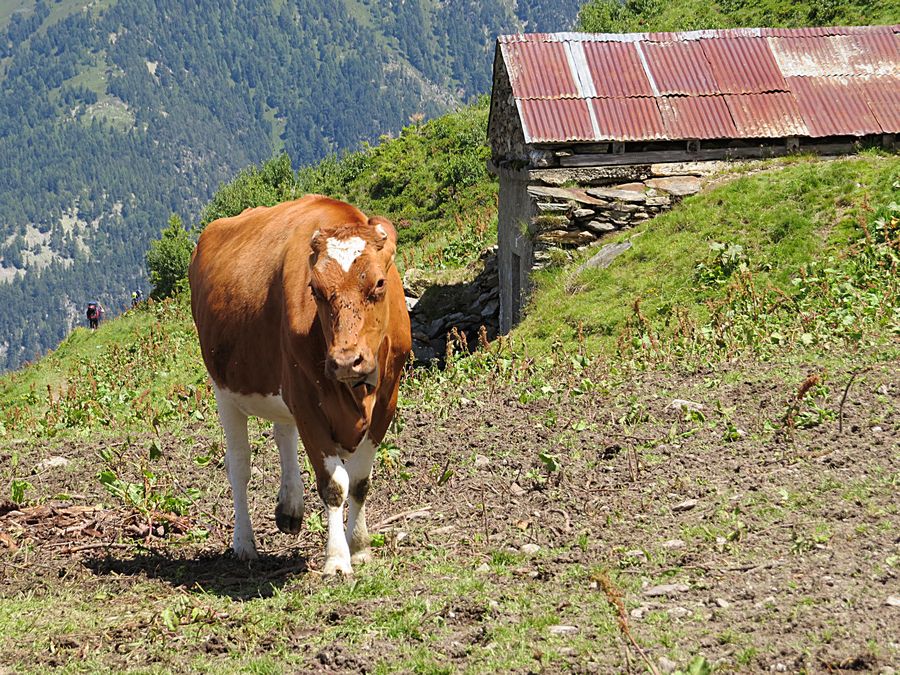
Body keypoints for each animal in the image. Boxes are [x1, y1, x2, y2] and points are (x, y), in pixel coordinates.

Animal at [191, 194, 414, 576]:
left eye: (379, 283)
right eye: (315, 289)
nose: (345, 360)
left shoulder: (387, 398)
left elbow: (360, 481)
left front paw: (359, 546)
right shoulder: (309, 401)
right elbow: (335, 485)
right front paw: (337, 559)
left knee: (283, 432)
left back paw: (290, 506)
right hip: (225, 390)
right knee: (239, 465)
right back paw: (244, 543)